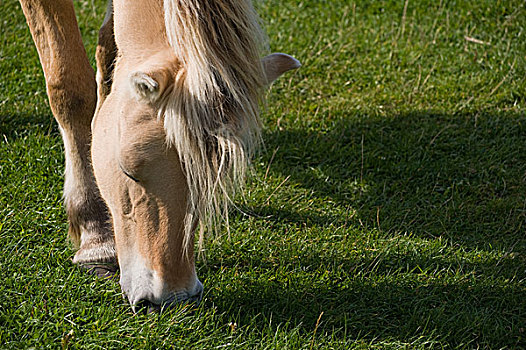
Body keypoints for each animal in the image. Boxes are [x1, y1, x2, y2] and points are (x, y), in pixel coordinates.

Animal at [19, 0, 302, 312]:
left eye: (213, 177)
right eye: (128, 171)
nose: (173, 297)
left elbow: (109, 51)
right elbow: (68, 88)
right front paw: (96, 233)